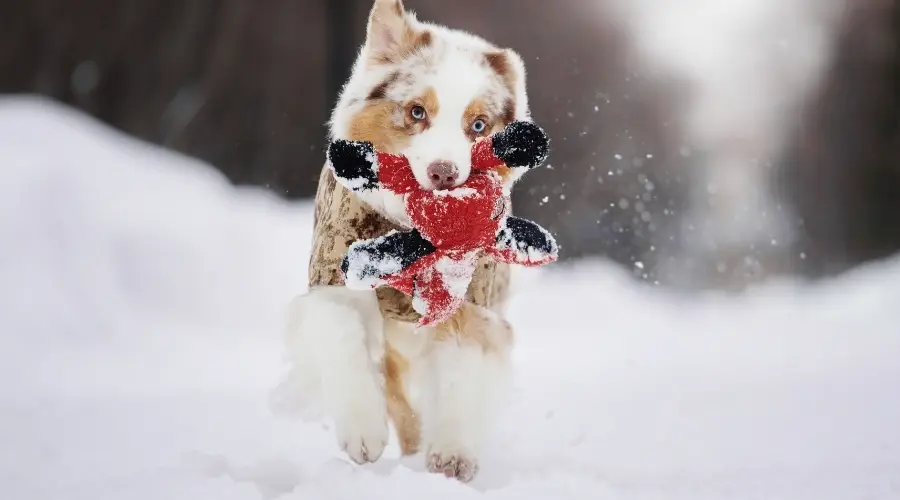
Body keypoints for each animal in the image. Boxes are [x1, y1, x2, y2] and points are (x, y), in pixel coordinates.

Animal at [278, 0, 536, 484]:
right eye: (417, 112)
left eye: (478, 125)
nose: (444, 173)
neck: (412, 230)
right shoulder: (335, 269)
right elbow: (344, 338)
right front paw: (362, 431)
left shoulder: (473, 299)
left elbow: (460, 374)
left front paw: (452, 455)